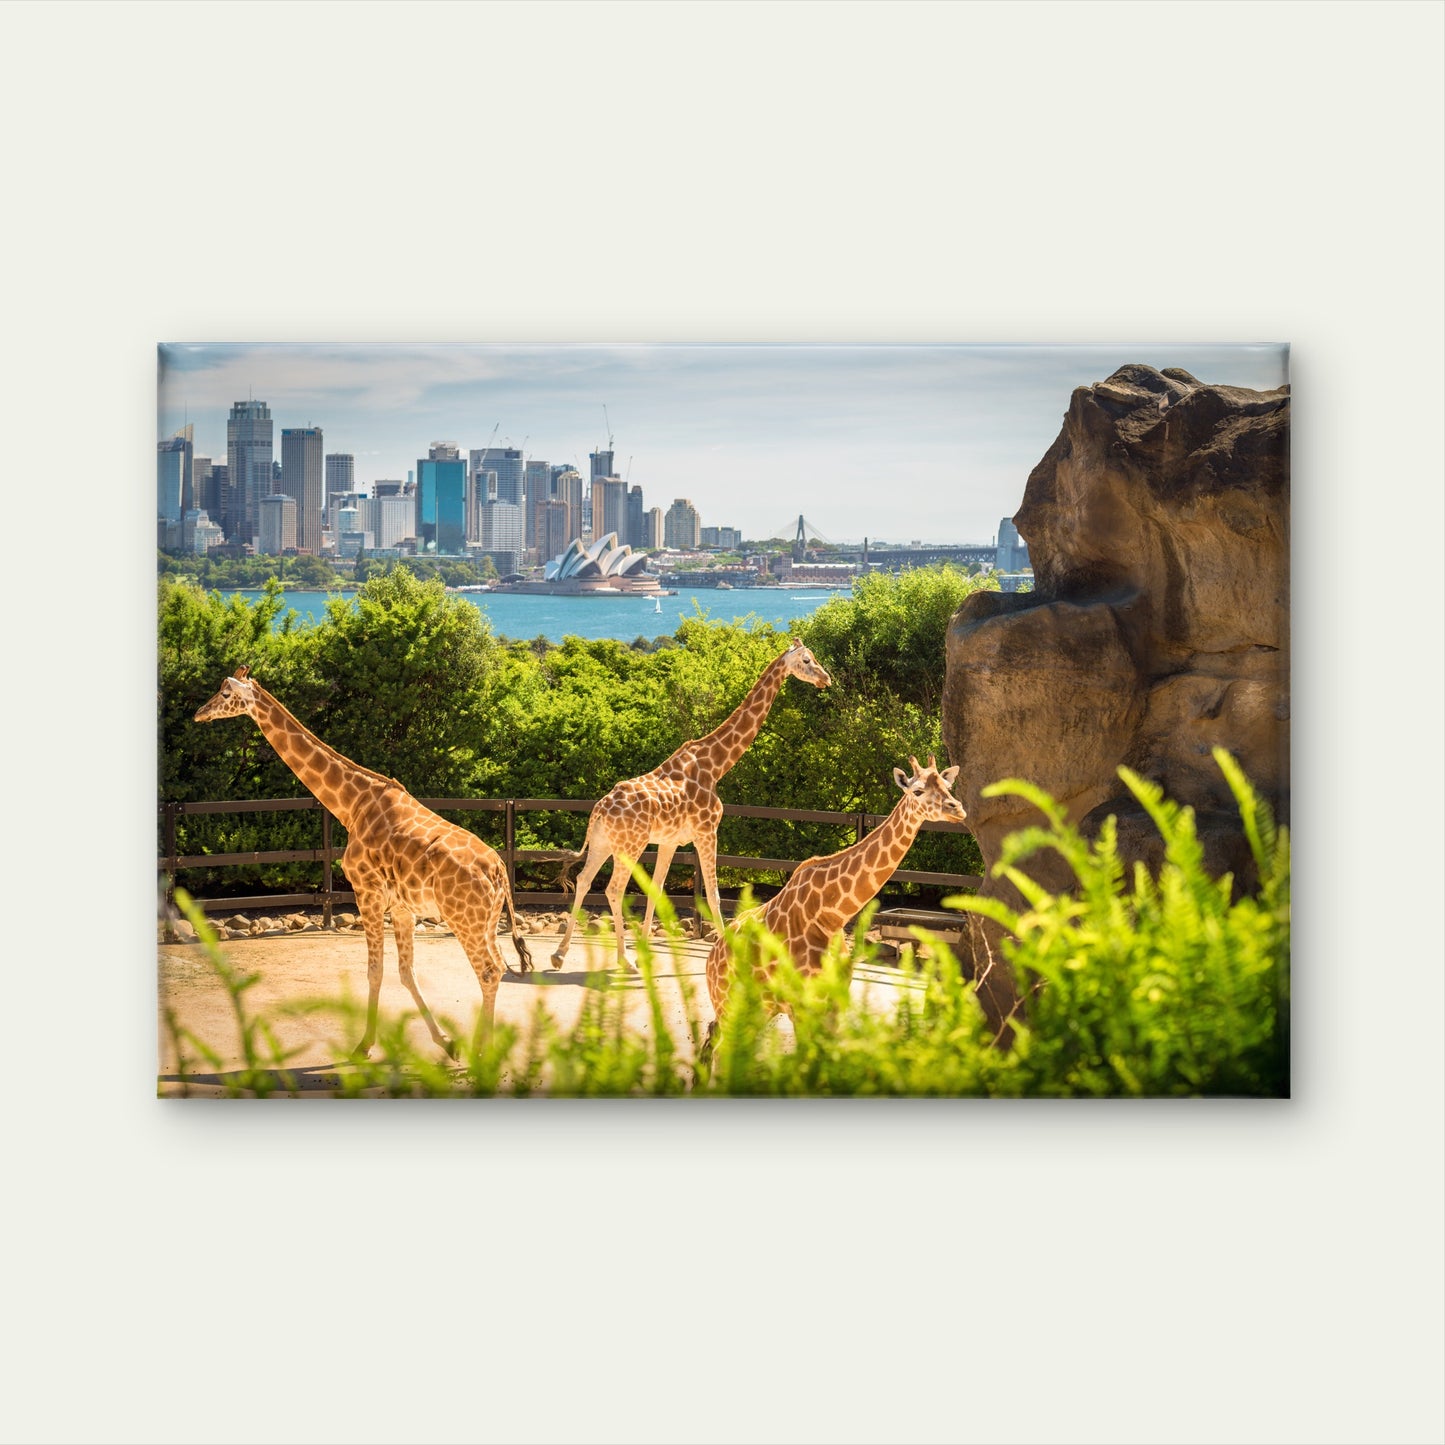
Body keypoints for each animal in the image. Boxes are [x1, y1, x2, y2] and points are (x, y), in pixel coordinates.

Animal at [193, 666, 532, 1058]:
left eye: (225, 693)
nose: (199, 712)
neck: (351, 807)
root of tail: (499, 869)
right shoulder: (401, 907)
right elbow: (405, 971)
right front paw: (445, 1042)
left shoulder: (366, 892)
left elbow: (375, 971)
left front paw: (364, 1046)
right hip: (487, 921)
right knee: (498, 967)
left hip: (464, 919)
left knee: (488, 971)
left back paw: (482, 1053)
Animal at [549, 637, 832, 972]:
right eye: (807, 660)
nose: (826, 678)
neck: (716, 765)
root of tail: (599, 811)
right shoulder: (706, 832)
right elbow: (713, 895)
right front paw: (729, 955)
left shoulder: (670, 841)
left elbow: (657, 889)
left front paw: (644, 949)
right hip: (630, 846)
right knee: (614, 889)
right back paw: (623, 960)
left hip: (603, 842)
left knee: (583, 880)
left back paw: (559, 954)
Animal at [700, 756, 966, 1061]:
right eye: (917, 791)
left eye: (947, 786)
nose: (957, 809)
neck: (830, 915)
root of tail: (711, 956)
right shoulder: (800, 1005)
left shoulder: (833, 1004)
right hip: (729, 1002)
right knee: (721, 1051)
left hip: (758, 1007)